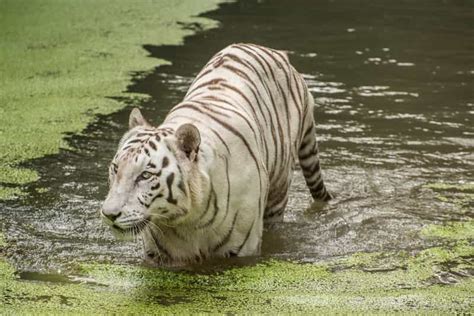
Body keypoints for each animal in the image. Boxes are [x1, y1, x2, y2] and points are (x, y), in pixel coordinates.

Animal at [102, 42, 332, 264]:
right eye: (115, 168)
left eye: (145, 175)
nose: (109, 214)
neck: (188, 220)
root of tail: (276, 52)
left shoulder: (241, 250)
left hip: (277, 197)